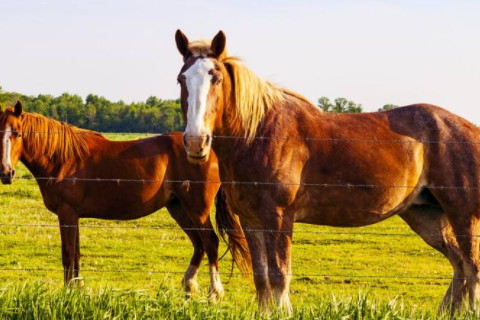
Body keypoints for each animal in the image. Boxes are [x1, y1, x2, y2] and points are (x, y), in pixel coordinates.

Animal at [0, 102, 251, 300]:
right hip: (178, 208)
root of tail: (210, 150)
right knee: (198, 244)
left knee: (210, 242)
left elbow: (68, 254)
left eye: (18, 133)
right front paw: (78, 290)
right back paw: (188, 286)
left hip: (197, 208)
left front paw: (69, 292)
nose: (6, 173)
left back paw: (214, 293)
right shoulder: (74, 216)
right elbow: (77, 255)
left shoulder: (67, 214)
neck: (62, 159)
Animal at [176, 30, 480, 312]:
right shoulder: (251, 219)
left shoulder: (278, 216)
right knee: (459, 263)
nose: (196, 141)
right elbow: (261, 277)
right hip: (425, 216)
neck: (259, 133)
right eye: (181, 79)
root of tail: (469, 129)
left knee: (472, 266)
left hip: (463, 214)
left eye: (216, 78)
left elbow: (279, 274)